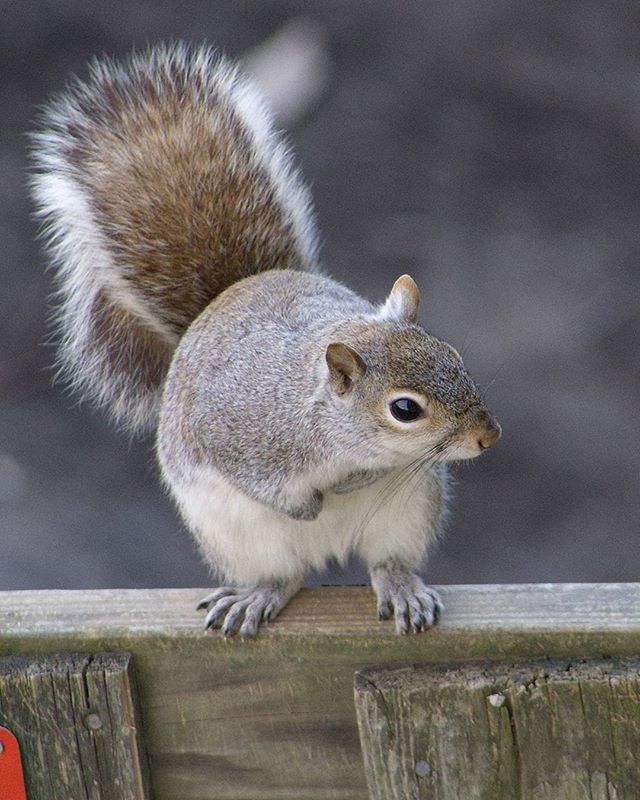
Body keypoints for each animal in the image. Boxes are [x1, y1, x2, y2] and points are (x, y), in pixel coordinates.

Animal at [30, 42, 500, 636]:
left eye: (455, 356)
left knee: (387, 561)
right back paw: (259, 594)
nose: (489, 436)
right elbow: (270, 488)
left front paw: (353, 484)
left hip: (408, 514)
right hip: (242, 537)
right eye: (405, 410)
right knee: (283, 575)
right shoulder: (239, 437)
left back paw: (401, 588)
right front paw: (318, 501)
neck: (327, 426)